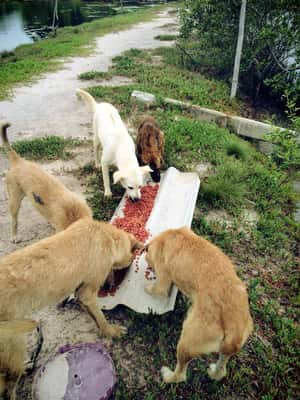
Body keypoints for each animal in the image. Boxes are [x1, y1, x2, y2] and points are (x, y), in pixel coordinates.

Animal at [0, 219, 142, 396]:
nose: (111, 286)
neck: (106, 234)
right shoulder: (88, 293)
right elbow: (101, 317)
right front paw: (111, 331)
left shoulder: (81, 293)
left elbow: (92, 315)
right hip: (14, 343)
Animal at [145, 227, 253, 382]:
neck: (172, 235)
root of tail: (234, 328)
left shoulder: (163, 277)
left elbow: (157, 288)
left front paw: (148, 288)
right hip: (225, 351)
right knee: (221, 370)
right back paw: (213, 372)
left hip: (186, 343)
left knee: (180, 375)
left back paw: (168, 375)